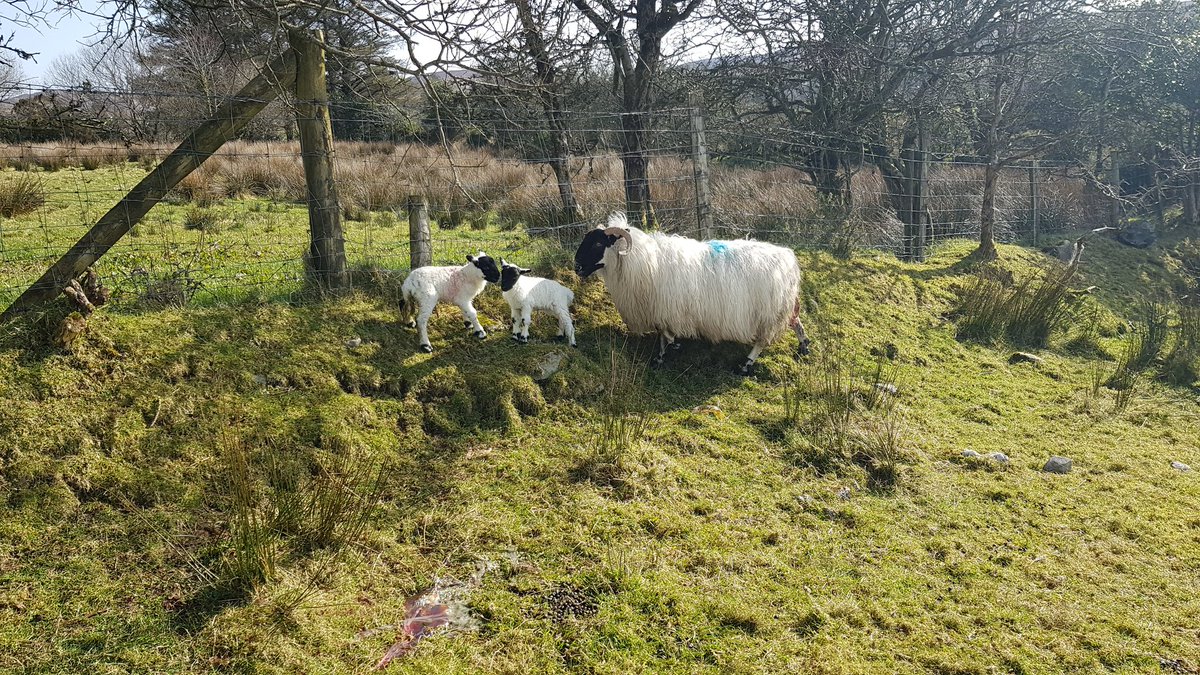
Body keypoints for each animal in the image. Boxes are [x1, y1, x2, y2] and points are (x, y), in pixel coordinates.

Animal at [573, 213, 810, 375]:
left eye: (597, 243)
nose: (577, 267)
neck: (643, 262)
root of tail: (788, 258)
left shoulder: (665, 308)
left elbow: (664, 334)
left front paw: (664, 354)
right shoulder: (663, 309)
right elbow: (664, 334)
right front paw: (669, 350)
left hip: (767, 313)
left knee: (762, 341)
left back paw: (746, 364)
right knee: (796, 320)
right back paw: (804, 345)